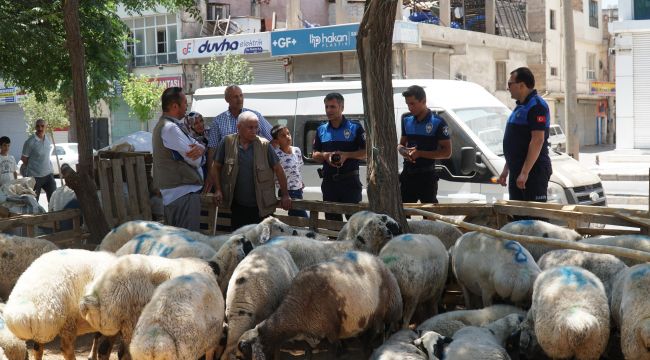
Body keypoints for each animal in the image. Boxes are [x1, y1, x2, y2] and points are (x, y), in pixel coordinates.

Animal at [235, 252, 402, 358]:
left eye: (243, 355)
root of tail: (376, 259)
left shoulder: (331, 331)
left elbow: (336, 350)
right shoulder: (310, 332)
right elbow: (308, 351)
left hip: (385, 312)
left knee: (380, 332)